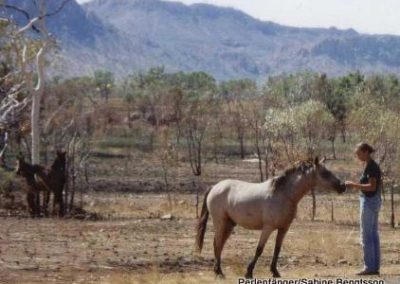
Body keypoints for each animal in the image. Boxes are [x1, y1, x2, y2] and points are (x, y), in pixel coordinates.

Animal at [195, 159, 346, 278]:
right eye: (324, 173)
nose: (342, 186)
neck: (283, 195)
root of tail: (214, 186)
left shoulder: (283, 229)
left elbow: (277, 249)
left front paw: (275, 272)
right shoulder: (268, 228)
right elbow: (259, 249)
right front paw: (249, 272)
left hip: (229, 224)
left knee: (219, 245)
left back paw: (218, 271)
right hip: (220, 222)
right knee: (217, 244)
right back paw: (219, 272)